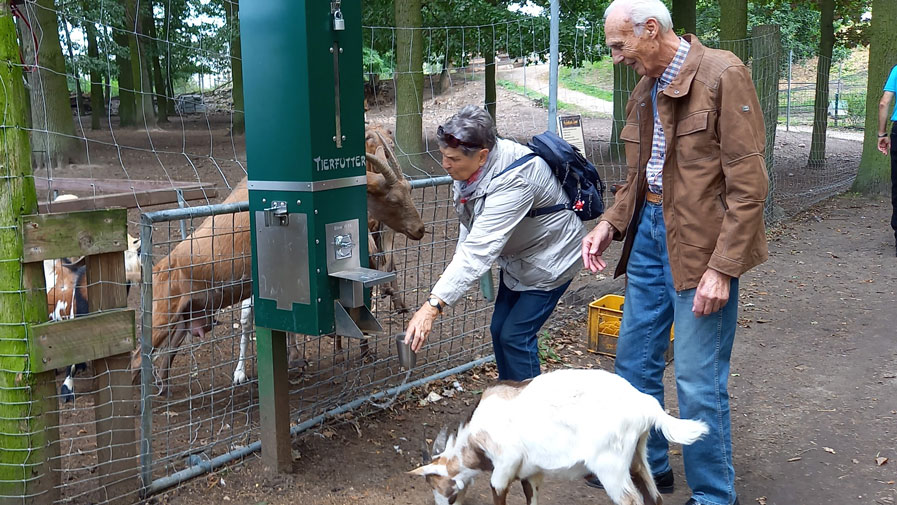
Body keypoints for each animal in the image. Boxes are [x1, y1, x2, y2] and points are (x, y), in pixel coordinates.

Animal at [410, 366, 712, 504]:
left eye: (436, 485)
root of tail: (645, 405)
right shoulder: (531, 473)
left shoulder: (505, 467)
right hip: (638, 456)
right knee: (654, 496)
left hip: (611, 467)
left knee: (631, 500)